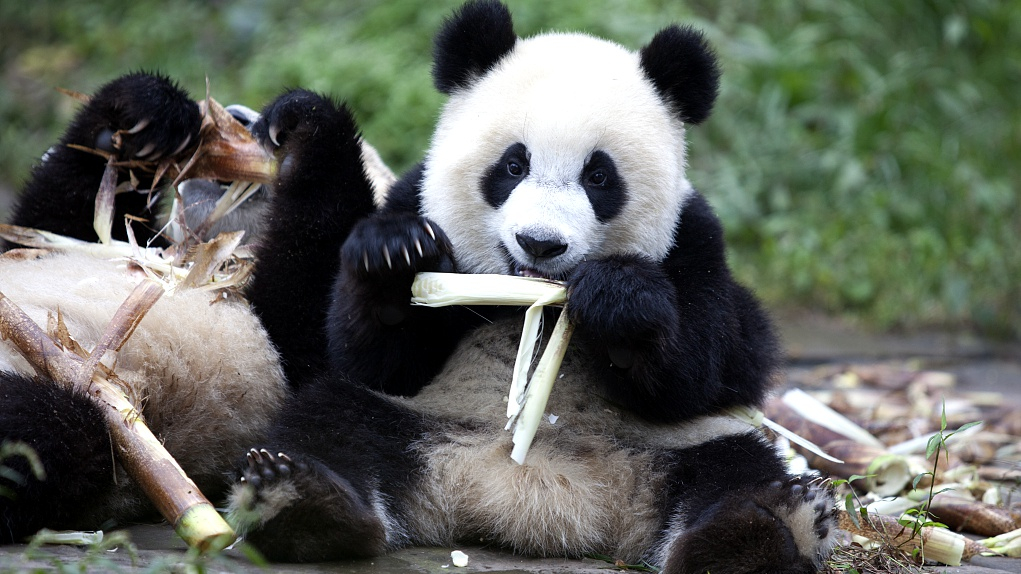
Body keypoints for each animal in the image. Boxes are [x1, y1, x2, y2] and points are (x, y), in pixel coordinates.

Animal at [0, 73, 384, 541]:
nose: (238, 118)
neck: (207, 257)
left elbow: (320, 328)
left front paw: (305, 127)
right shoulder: (107, 244)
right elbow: (54, 221)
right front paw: (146, 115)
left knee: (52, 431)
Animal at [223, 2, 839, 573]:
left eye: (598, 176)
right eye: (513, 165)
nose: (540, 243)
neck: (526, 298)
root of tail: (512, 497)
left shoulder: (695, 240)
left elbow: (694, 374)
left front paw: (617, 299)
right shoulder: (414, 198)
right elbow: (376, 360)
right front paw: (394, 257)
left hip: (673, 449)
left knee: (734, 467)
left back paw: (760, 528)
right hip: (411, 418)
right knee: (332, 421)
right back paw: (302, 502)